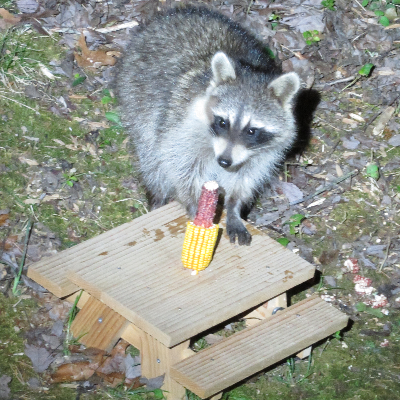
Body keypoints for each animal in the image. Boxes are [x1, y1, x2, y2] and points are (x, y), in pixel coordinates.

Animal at [115, 5, 300, 244]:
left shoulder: (265, 152)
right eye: (222, 122)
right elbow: (177, 164)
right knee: (152, 155)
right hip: (135, 96)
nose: (224, 162)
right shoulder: (180, 126)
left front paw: (234, 207)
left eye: (251, 130)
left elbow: (246, 177)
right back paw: (157, 193)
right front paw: (194, 204)